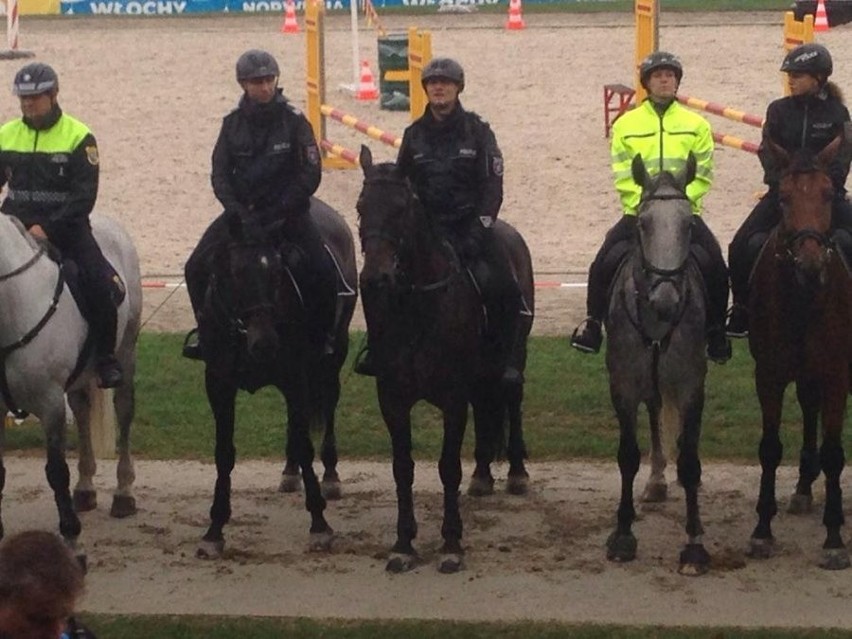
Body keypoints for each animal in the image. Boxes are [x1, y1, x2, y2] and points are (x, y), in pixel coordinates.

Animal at [0, 212, 141, 556]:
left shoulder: (51, 404)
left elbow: (56, 471)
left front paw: (72, 539)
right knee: (82, 411)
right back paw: (86, 488)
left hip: (126, 353)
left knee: (124, 413)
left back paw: (124, 492)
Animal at [193, 200, 356, 560]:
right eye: (235, 273)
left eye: (279, 273)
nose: (265, 343)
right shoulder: (218, 384)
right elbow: (223, 453)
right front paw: (214, 530)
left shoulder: (296, 378)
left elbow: (306, 446)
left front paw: (319, 525)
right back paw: (289, 472)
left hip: (331, 360)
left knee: (329, 406)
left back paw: (331, 476)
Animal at [354, 146, 532, 576]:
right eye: (361, 207)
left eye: (401, 208)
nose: (375, 279)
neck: (420, 304)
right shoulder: (393, 400)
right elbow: (403, 468)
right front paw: (403, 543)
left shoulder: (452, 400)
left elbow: (447, 467)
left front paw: (452, 544)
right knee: (486, 408)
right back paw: (482, 475)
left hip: (512, 360)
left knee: (512, 397)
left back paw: (517, 473)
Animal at [604, 154, 716, 576]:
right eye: (643, 224)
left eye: (689, 225)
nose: (666, 299)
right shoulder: (622, 386)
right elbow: (627, 456)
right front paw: (622, 534)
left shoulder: (691, 388)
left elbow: (690, 462)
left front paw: (694, 545)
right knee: (653, 415)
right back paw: (654, 481)